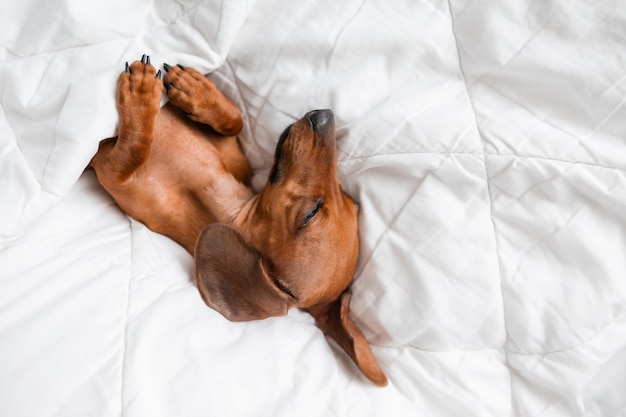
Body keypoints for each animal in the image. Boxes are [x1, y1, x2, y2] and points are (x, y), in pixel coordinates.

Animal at [89, 54, 386, 384]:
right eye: (350, 199)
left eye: (310, 214)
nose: (324, 117)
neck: (214, 190)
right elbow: (237, 122)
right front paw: (198, 92)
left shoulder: (113, 174)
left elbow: (134, 150)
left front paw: (141, 94)